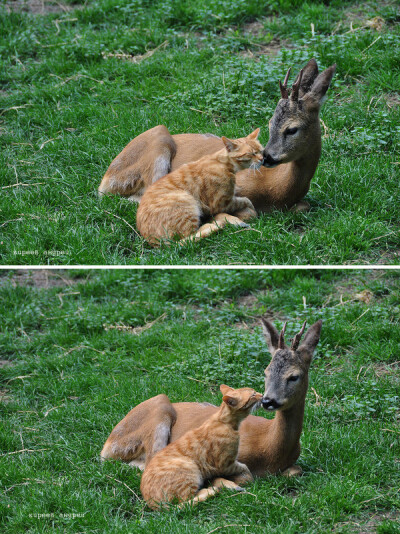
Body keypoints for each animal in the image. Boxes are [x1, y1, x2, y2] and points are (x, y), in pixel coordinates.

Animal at [99, 59, 334, 229]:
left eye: (291, 129)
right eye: (270, 123)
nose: (266, 157)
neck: (276, 189)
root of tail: (107, 177)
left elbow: (303, 206)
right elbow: (246, 212)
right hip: (158, 140)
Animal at [101, 318, 324, 482]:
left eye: (294, 376)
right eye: (266, 372)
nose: (268, 400)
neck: (269, 448)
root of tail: (108, 443)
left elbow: (296, 470)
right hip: (158, 409)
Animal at [136, 130, 264, 247]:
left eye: (261, 151)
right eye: (251, 154)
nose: (262, 159)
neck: (221, 163)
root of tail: (155, 242)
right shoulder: (221, 203)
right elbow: (246, 200)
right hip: (186, 201)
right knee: (187, 238)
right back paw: (215, 225)